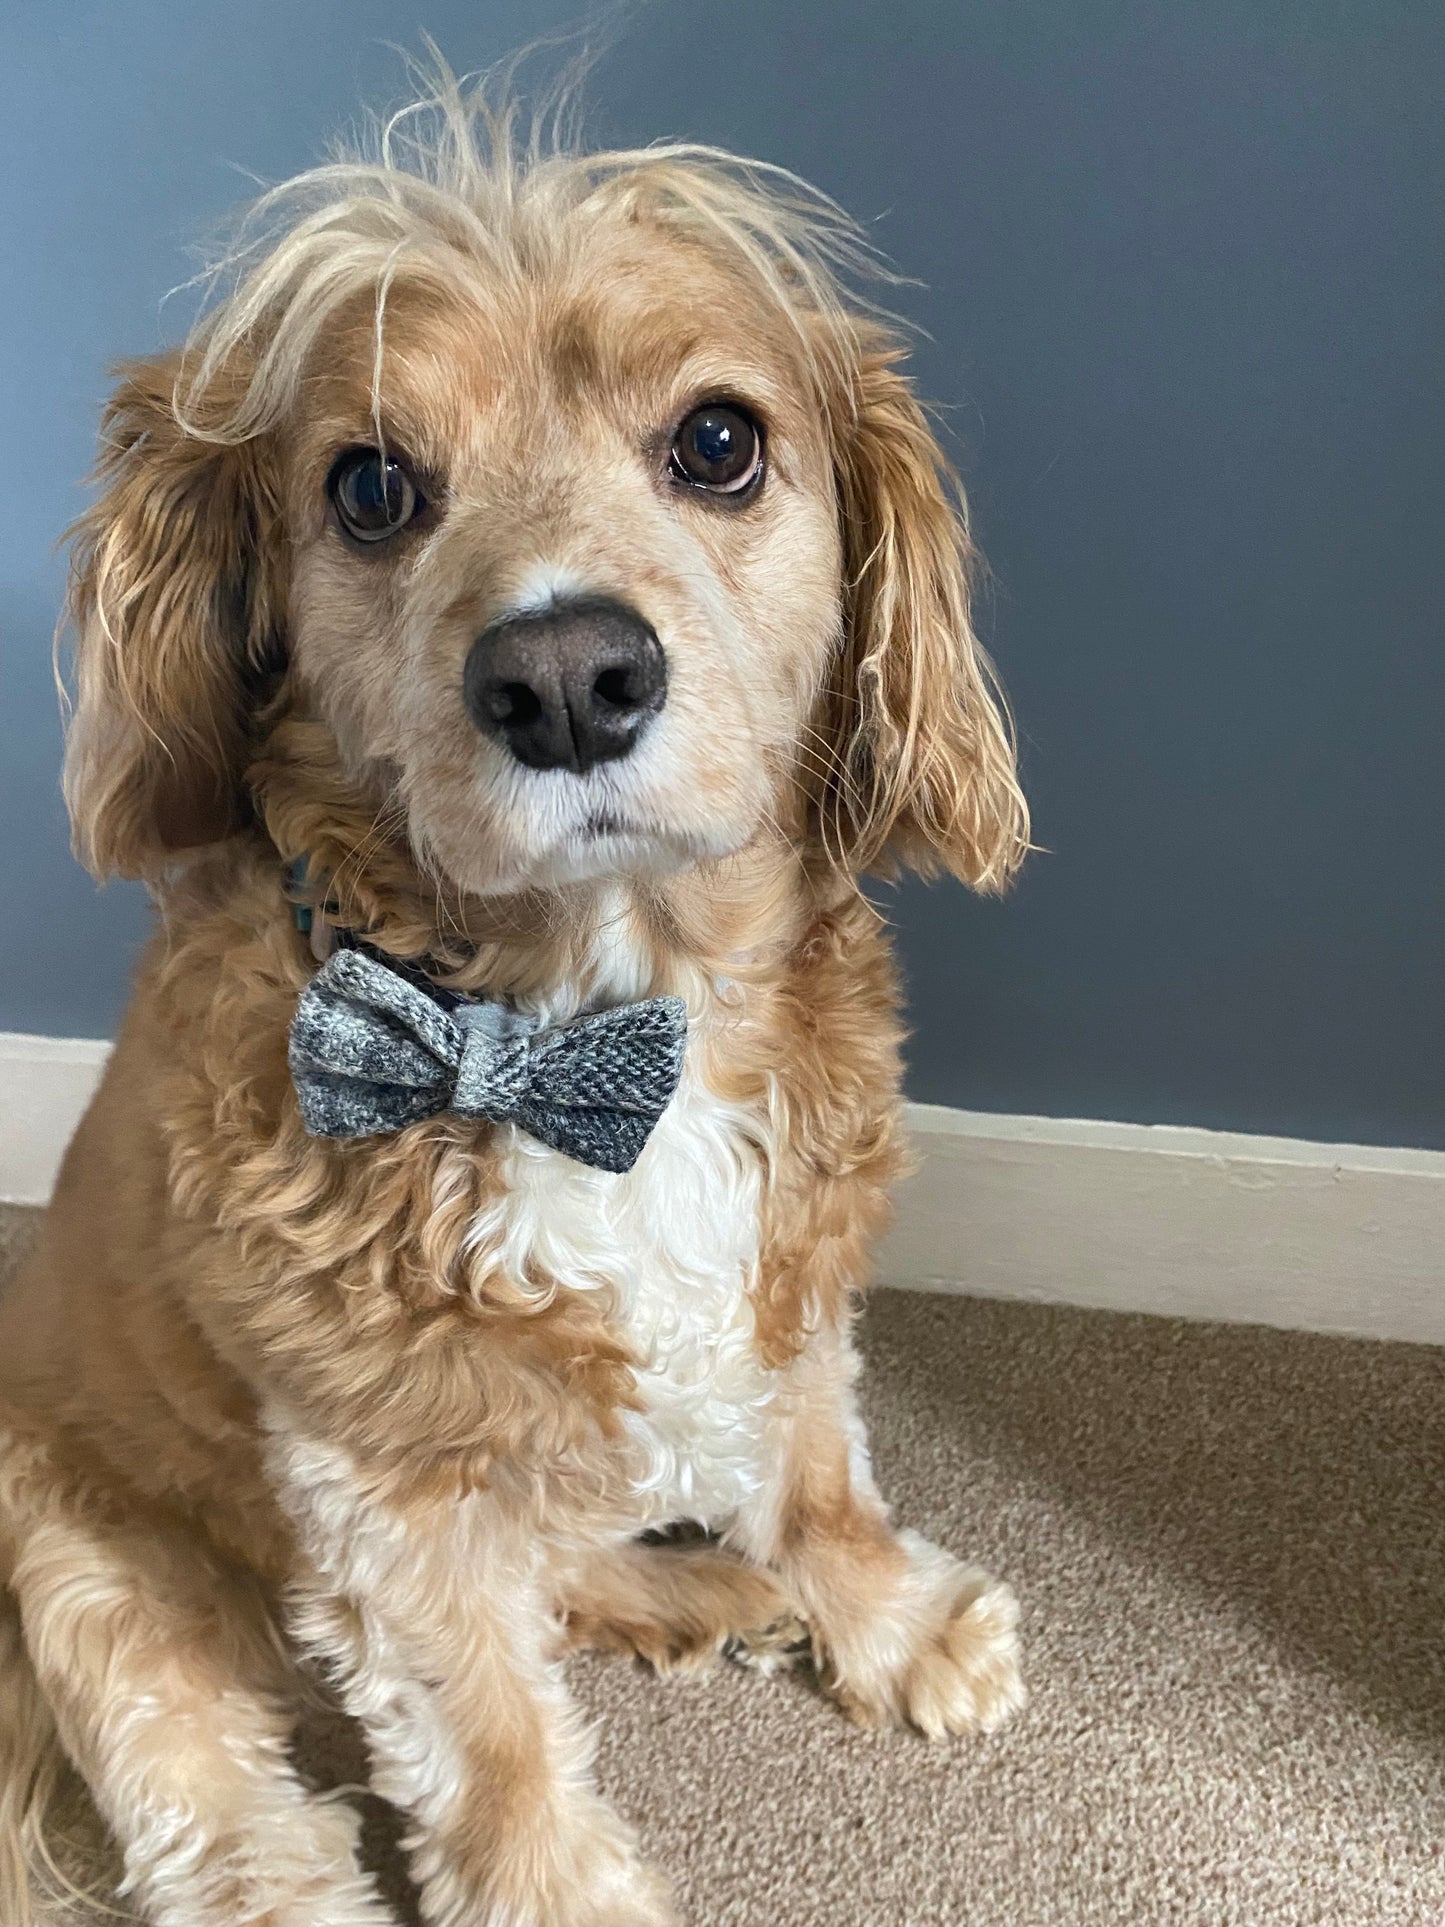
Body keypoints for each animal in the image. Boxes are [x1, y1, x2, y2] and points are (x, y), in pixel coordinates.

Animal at [5, 71, 1032, 1927]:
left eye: (718, 442)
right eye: (370, 486)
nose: (565, 678)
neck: (591, 1015)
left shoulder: (789, 1265)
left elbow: (816, 1460)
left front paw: (881, 1614)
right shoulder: (376, 1467)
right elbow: (480, 1720)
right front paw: (552, 1881)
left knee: (568, 1549)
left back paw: (695, 1590)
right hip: (90, 1560)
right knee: (226, 1814)